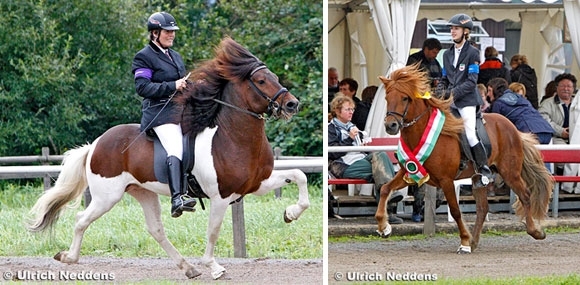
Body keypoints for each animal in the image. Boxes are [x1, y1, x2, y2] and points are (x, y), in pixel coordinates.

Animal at [28, 36, 308, 278]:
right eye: (260, 80)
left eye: (274, 76)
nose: (292, 104)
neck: (233, 137)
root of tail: (96, 143)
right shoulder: (221, 197)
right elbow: (213, 231)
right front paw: (213, 266)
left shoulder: (256, 184)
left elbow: (299, 175)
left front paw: (290, 213)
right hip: (107, 196)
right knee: (81, 220)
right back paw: (68, 257)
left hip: (142, 191)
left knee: (156, 229)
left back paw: (188, 268)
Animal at [376, 65, 552, 253]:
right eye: (387, 98)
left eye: (405, 98)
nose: (390, 125)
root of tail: (512, 127)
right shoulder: (410, 172)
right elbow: (385, 189)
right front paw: (384, 227)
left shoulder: (446, 180)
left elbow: (455, 210)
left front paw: (464, 241)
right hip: (478, 178)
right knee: (483, 208)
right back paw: (475, 242)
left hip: (510, 173)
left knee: (525, 195)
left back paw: (535, 232)